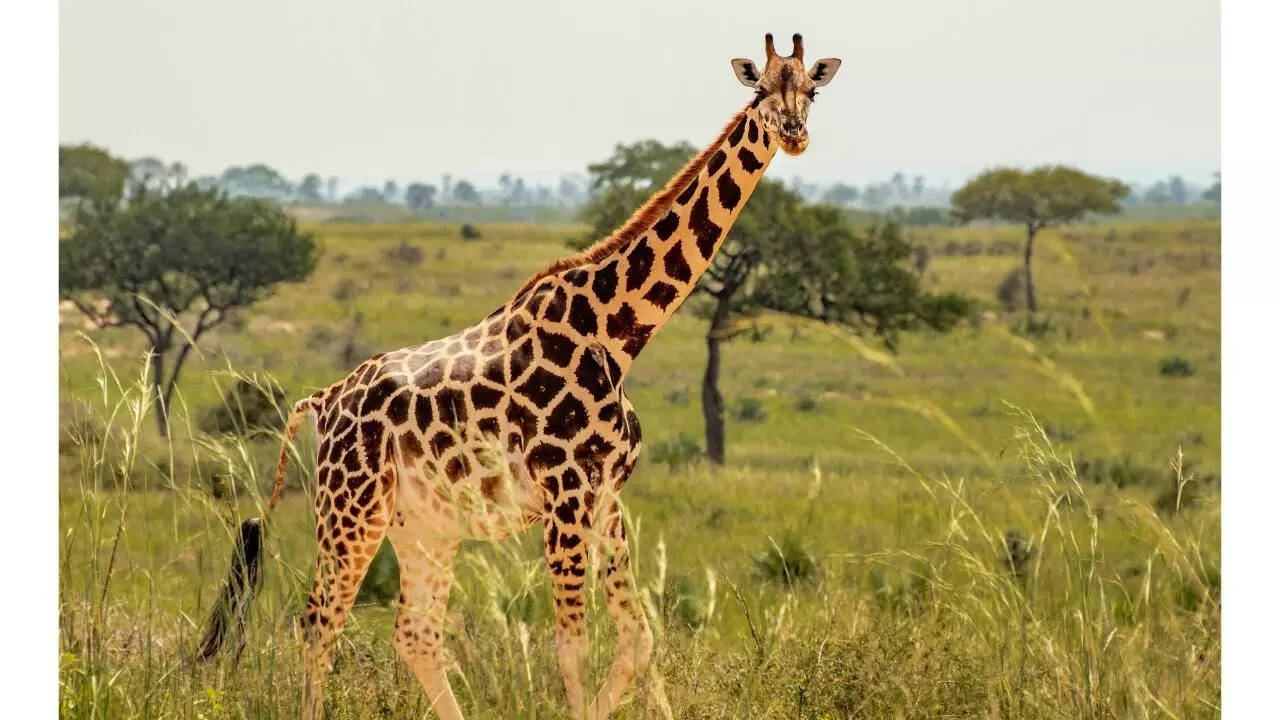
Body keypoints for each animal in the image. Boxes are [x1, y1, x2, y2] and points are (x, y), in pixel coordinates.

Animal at [196, 32, 841, 720]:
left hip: (423, 526)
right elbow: (573, 647)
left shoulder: (606, 494)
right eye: (761, 90)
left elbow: (639, 639)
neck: (618, 333)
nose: (795, 134)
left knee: (415, 633)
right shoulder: (565, 491)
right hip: (351, 507)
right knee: (319, 620)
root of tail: (323, 399)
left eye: (812, 89)